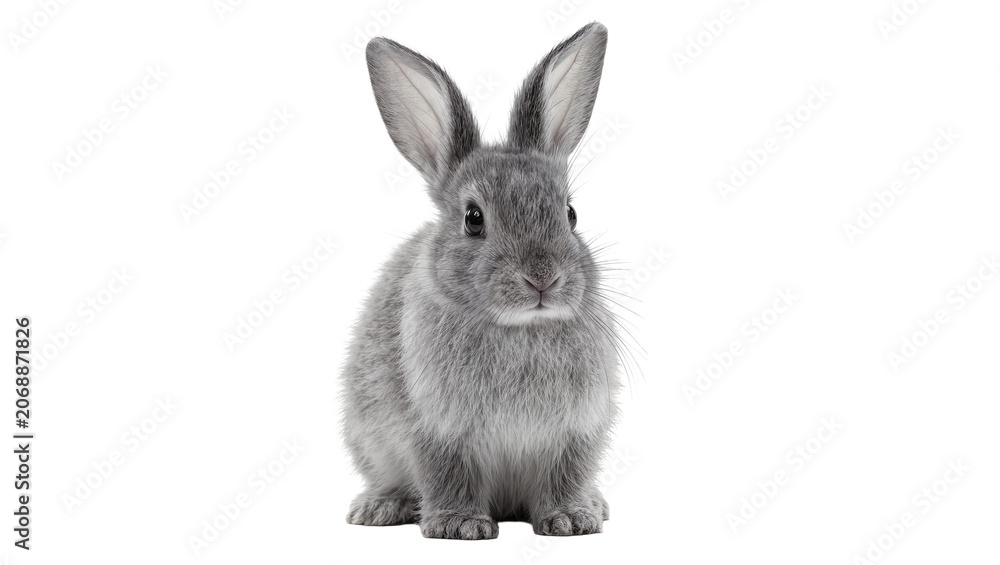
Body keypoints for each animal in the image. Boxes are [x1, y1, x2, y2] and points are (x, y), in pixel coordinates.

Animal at [341, 22, 622, 540]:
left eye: (570, 214)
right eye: (473, 219)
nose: (542, 278)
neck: (520, 328)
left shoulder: (574, 435)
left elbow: (566, 475)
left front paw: (572, 519)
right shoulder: (436, 431)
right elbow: (447, 475)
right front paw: (459, 526)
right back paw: (379, 508)